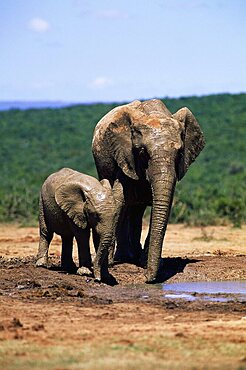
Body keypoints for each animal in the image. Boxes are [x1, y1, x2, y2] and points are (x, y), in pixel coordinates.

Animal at [91, 99, 205, 284]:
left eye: (180, 152)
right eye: (143, 152)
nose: (146, 279)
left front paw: (145, 263)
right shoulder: (125, 156)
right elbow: (118, 201)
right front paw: (108, 263)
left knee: (137, 211)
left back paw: (132, 256)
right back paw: (123, 257)